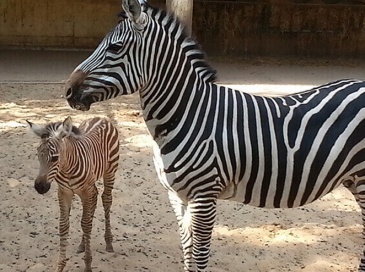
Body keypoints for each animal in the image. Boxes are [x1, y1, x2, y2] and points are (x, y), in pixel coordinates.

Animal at [28, 117, 119, 272]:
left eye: (54, 158)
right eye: (38, 155)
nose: (40, 187)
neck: (66, 169)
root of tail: (101, 118)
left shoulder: (85, 191)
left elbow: (86, 224)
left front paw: (87, 265)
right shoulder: (64, 192)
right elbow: (64, 226)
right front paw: (60, 266)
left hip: (110, 171)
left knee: (106, 199)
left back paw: (108, 242)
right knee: (94, 201)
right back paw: (82, 244)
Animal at [64, 1, 364, 270]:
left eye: (115, 47)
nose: (67, 91)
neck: (189, 114)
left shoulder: (204, 194)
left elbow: (200, 255)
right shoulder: (178, 196)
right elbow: (187, 252)